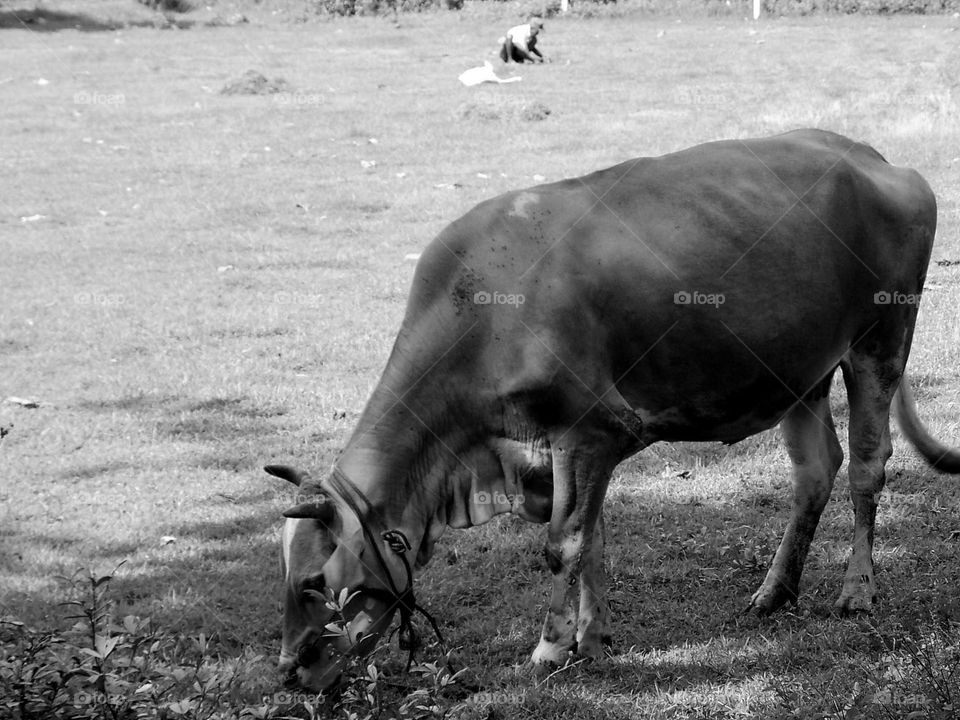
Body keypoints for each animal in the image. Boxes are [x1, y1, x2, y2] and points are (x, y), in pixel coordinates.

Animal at [266, 128, 960, 691]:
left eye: (313, 583)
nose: (290, 673)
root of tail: (870, 155)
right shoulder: (560, 449)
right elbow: (592, 538)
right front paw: (594, 638)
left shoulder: (591, 430)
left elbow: (563, 544)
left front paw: (549, 649)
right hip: (797, 370)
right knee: (816, 470)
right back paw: (774, 591)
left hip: (880, 341)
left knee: (867, 467)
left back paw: (857, 590)